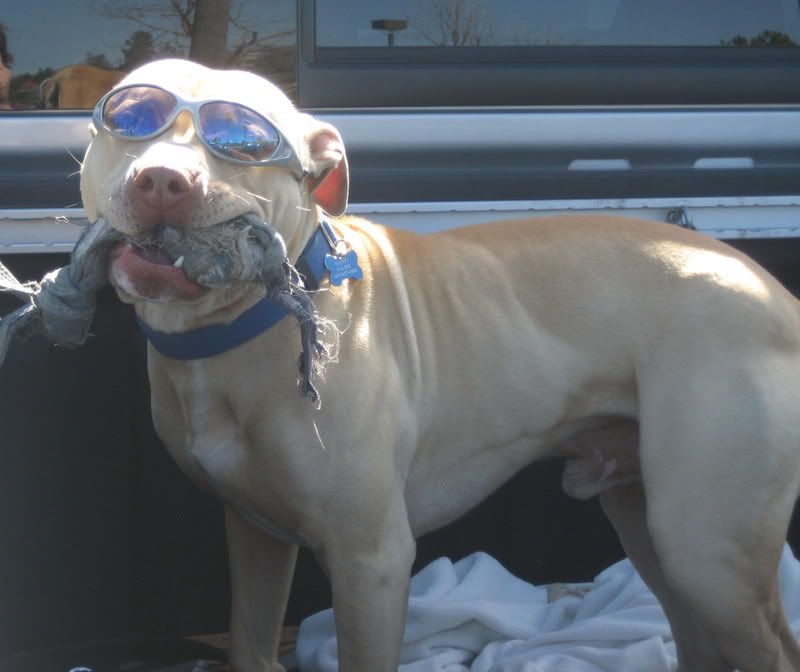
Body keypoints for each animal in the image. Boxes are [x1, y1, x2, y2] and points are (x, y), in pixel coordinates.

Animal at [78, 60, 800, 668]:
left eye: (244, 141)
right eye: (129, 117)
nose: (163, 180)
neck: (236, 328)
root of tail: (773, 290)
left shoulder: (371, 560)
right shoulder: (255, 536)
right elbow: (252, 644)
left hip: (706, 549)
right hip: (647, 519)